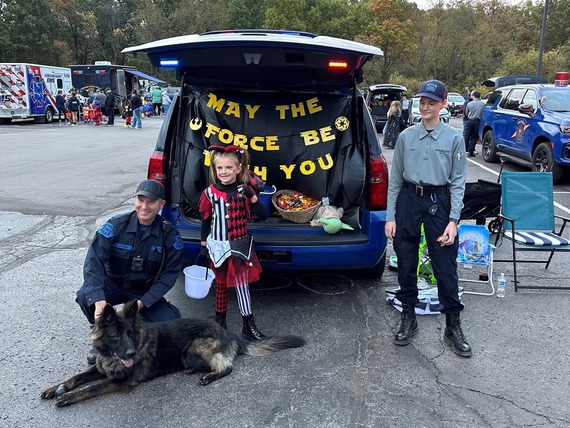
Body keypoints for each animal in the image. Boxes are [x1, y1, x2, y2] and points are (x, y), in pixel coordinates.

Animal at [41, 300, 304, 406]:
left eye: (131, 334)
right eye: (116, 336)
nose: (131, 352)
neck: (110, 355)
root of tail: (230, 334)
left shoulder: (121, 381)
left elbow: (90, 388)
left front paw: (67, 397)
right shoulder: (101, 366)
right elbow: (77, 377)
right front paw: (55, 388)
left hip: (192, 347)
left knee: (227, 367)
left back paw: (208, 375)